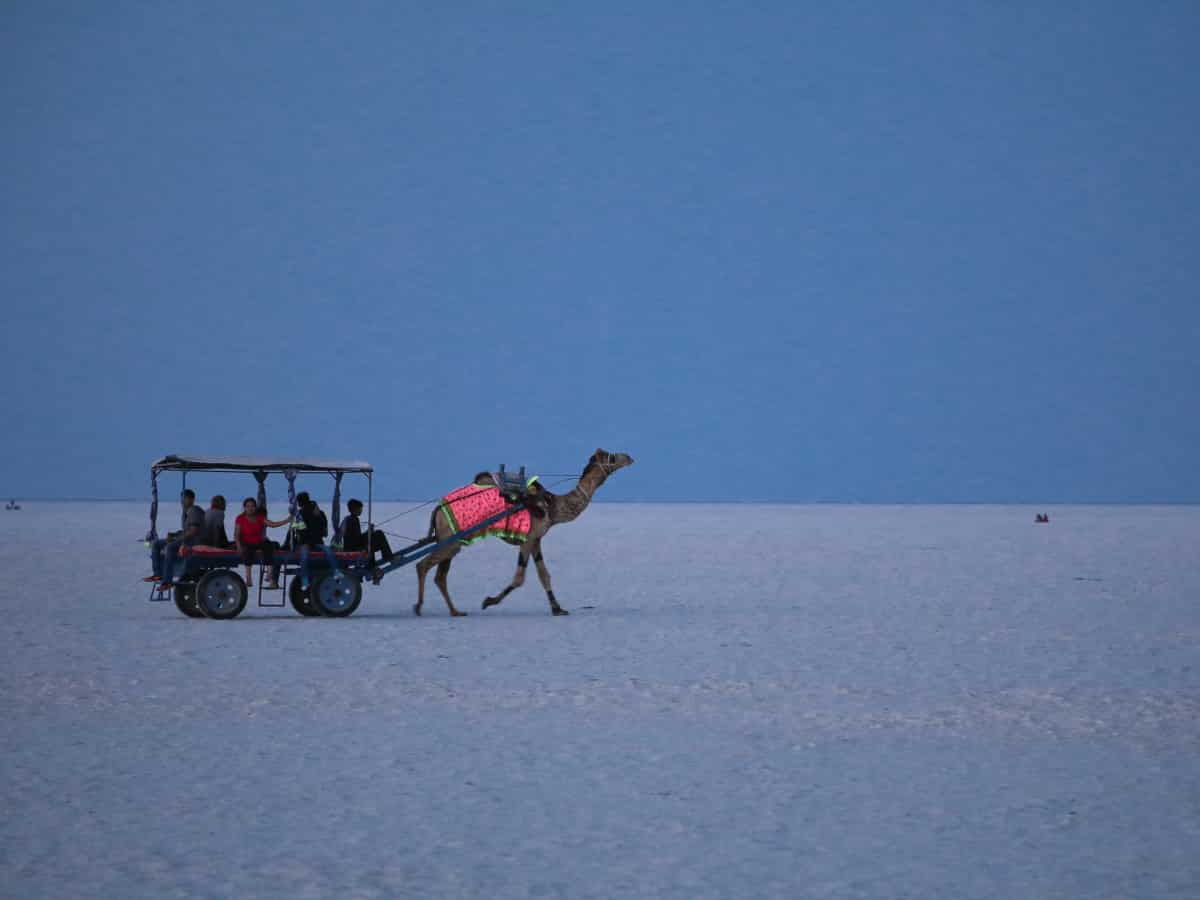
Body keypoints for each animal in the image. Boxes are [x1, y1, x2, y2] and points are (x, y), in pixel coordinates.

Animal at [412, 448, 633, 619]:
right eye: (611, 457)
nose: (629, 457)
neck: (553, 507)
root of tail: (438, 509)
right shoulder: (528, 538)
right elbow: (520, 578)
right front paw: (488, 601)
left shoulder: (536, 540)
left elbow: (544, 575)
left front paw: (558, 608)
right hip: (451, 539)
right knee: (423, 565)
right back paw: (419, 607)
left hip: (451, 539)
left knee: (440, 576)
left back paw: (455, 611)